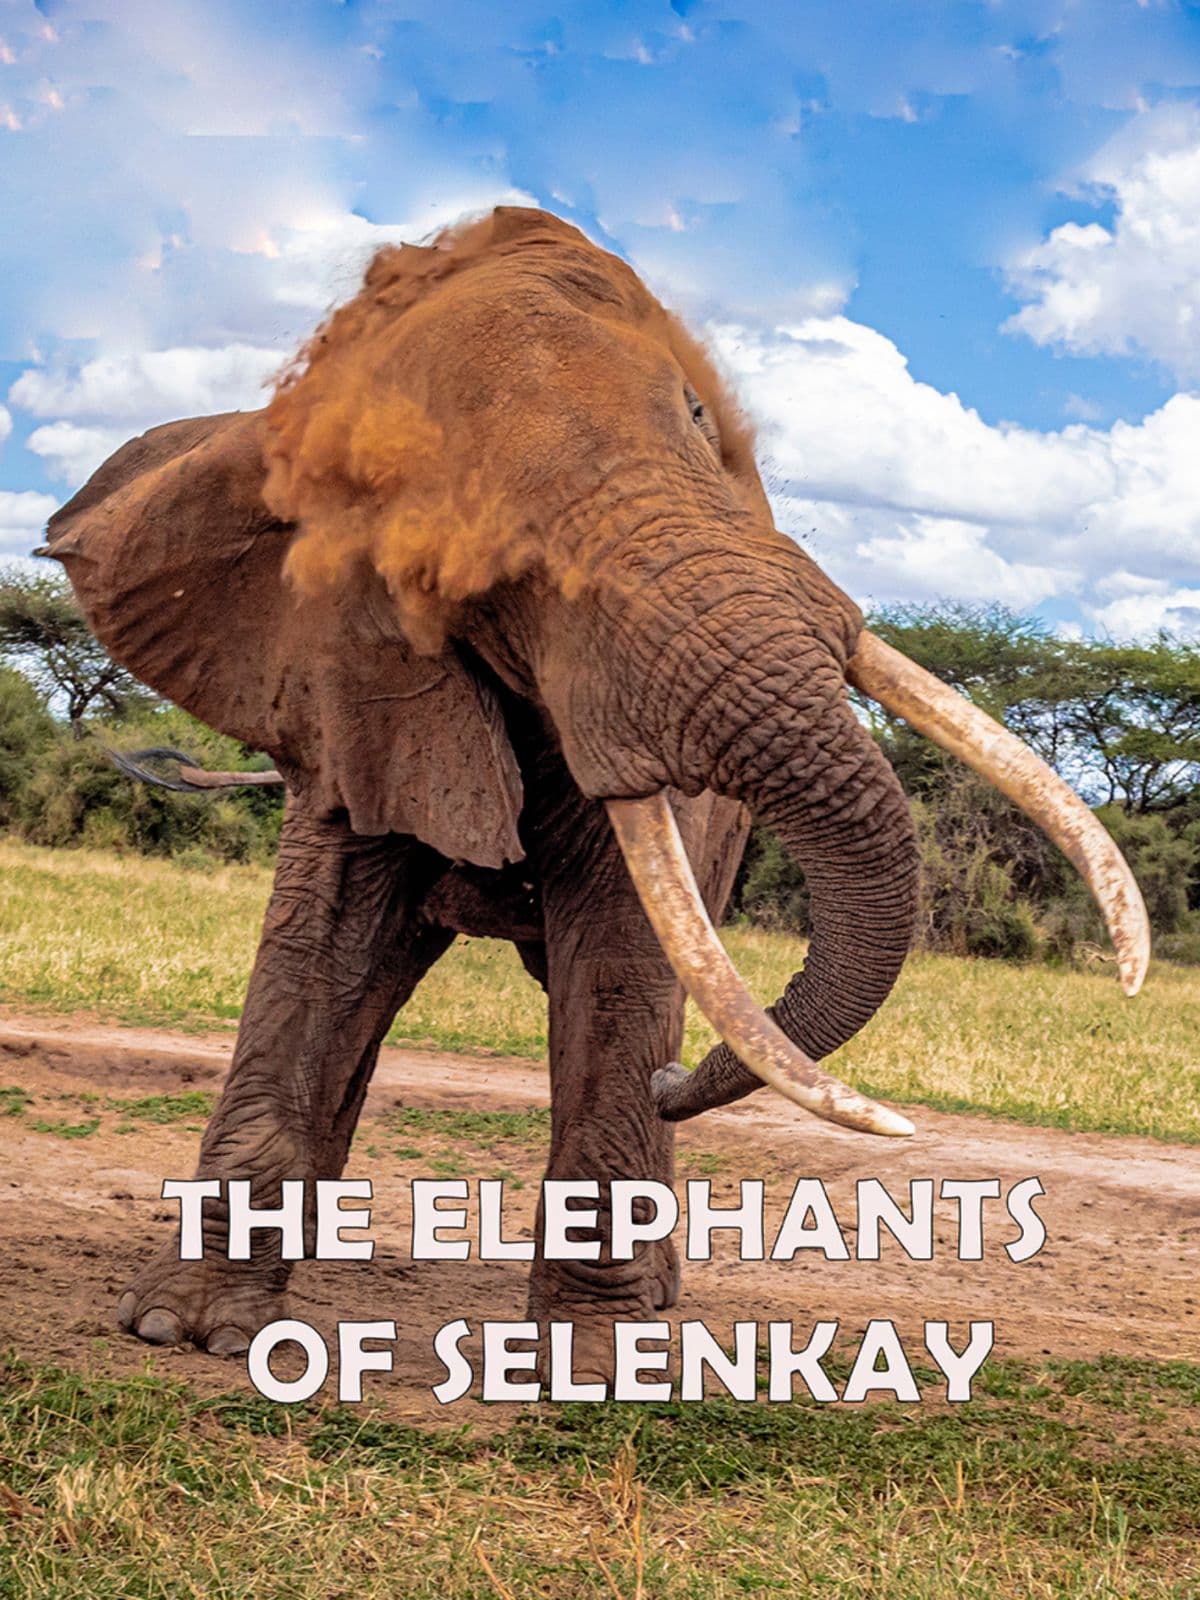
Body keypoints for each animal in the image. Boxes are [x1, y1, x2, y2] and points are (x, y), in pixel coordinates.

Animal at [41, 206, 1149, 1367]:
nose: (677, 1087)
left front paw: (606, 1361)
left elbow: (619, 957)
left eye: (700, 418)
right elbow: (320, 948)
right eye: (464, 567)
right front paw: (186, 1328)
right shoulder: (343, 688)